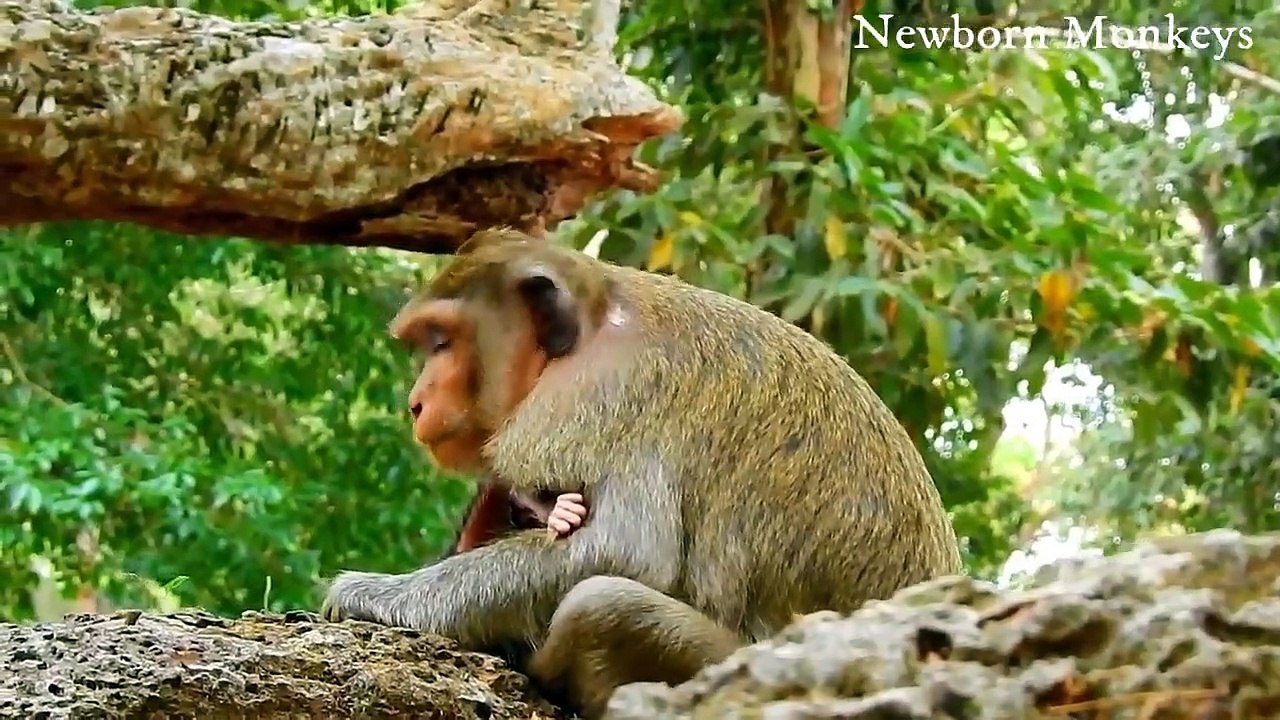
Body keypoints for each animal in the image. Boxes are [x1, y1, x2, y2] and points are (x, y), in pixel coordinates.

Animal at [320, 228, 962, 719]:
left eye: (442, 341)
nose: (416, 402)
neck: (598, 315)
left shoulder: (598, 393)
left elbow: (628, 549)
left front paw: (368, 593)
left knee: (603, 603)